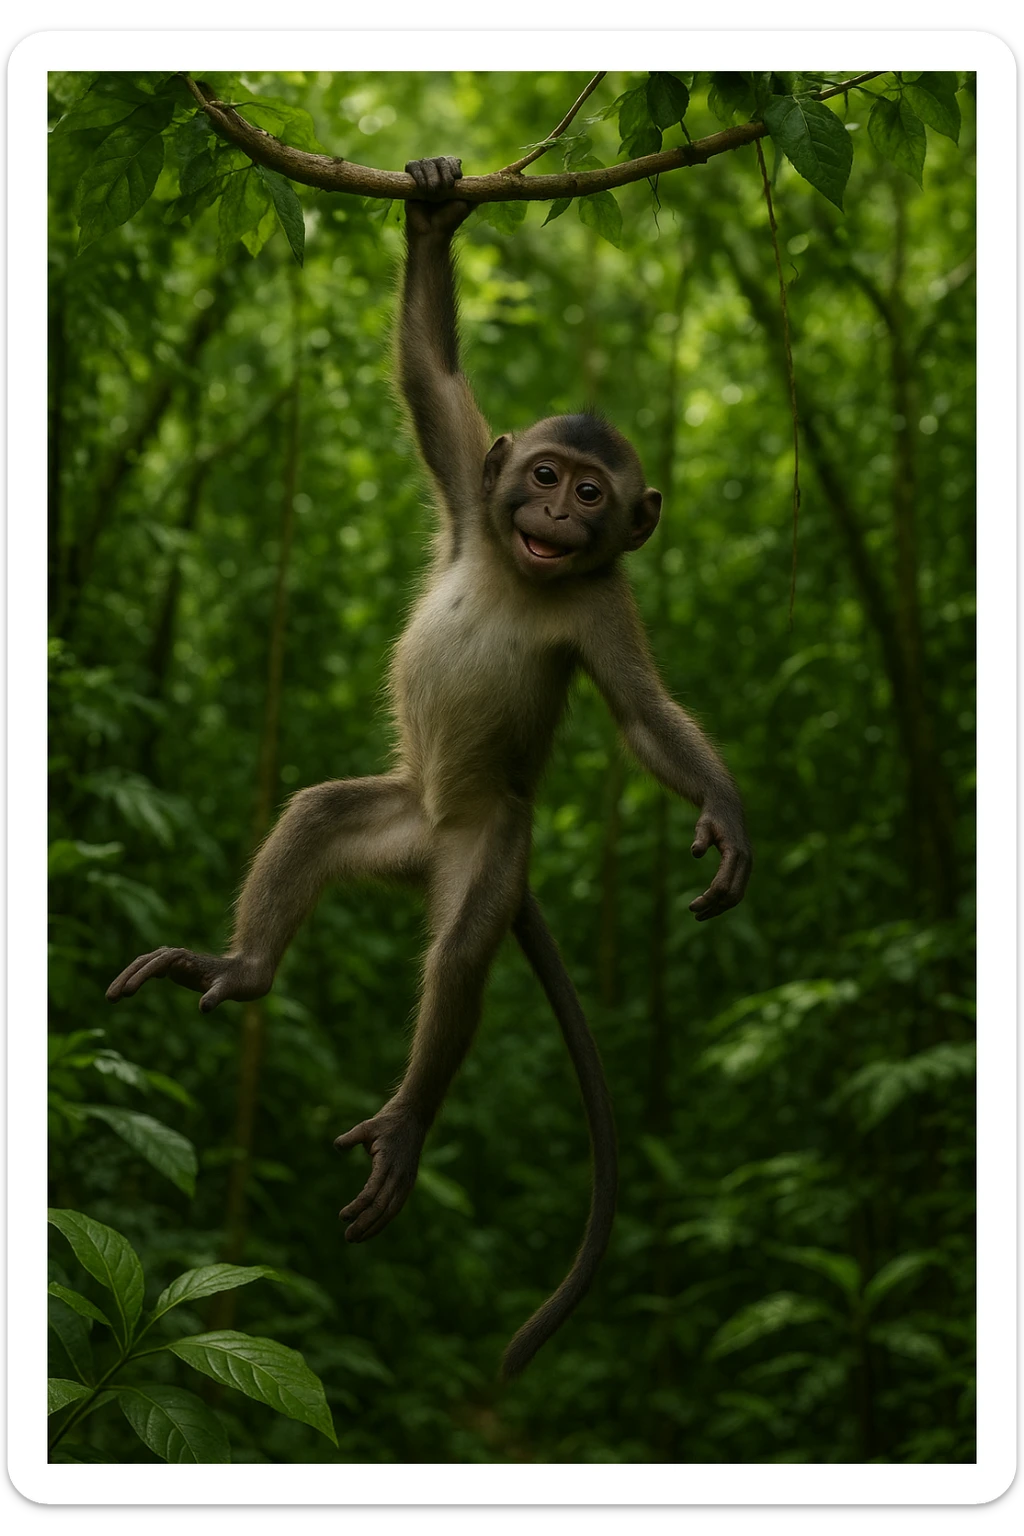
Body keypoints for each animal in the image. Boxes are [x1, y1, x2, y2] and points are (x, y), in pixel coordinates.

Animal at [106, 155, 752, 1379]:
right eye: (542, 472)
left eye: (592, 495)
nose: (551, 512)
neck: (521, 570)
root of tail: (442, 824)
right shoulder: (467, 501)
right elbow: (429, 379)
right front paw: (436, 209)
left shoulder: (600, 602)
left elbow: (645, 716)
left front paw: (725, 814)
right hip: (399, 817)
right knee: (317, 815)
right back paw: (242, 969)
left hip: (491, 843)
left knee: (457, 953)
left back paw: (404, 1119)